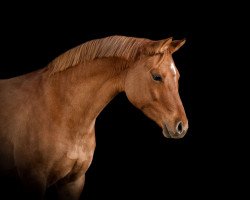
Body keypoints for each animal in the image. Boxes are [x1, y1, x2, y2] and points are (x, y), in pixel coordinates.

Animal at [0, 35, 188, 198]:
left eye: (178, 76)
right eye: (156, 76)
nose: (181, 126)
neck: (59, 109)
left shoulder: (73, 182)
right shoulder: (34, 180)